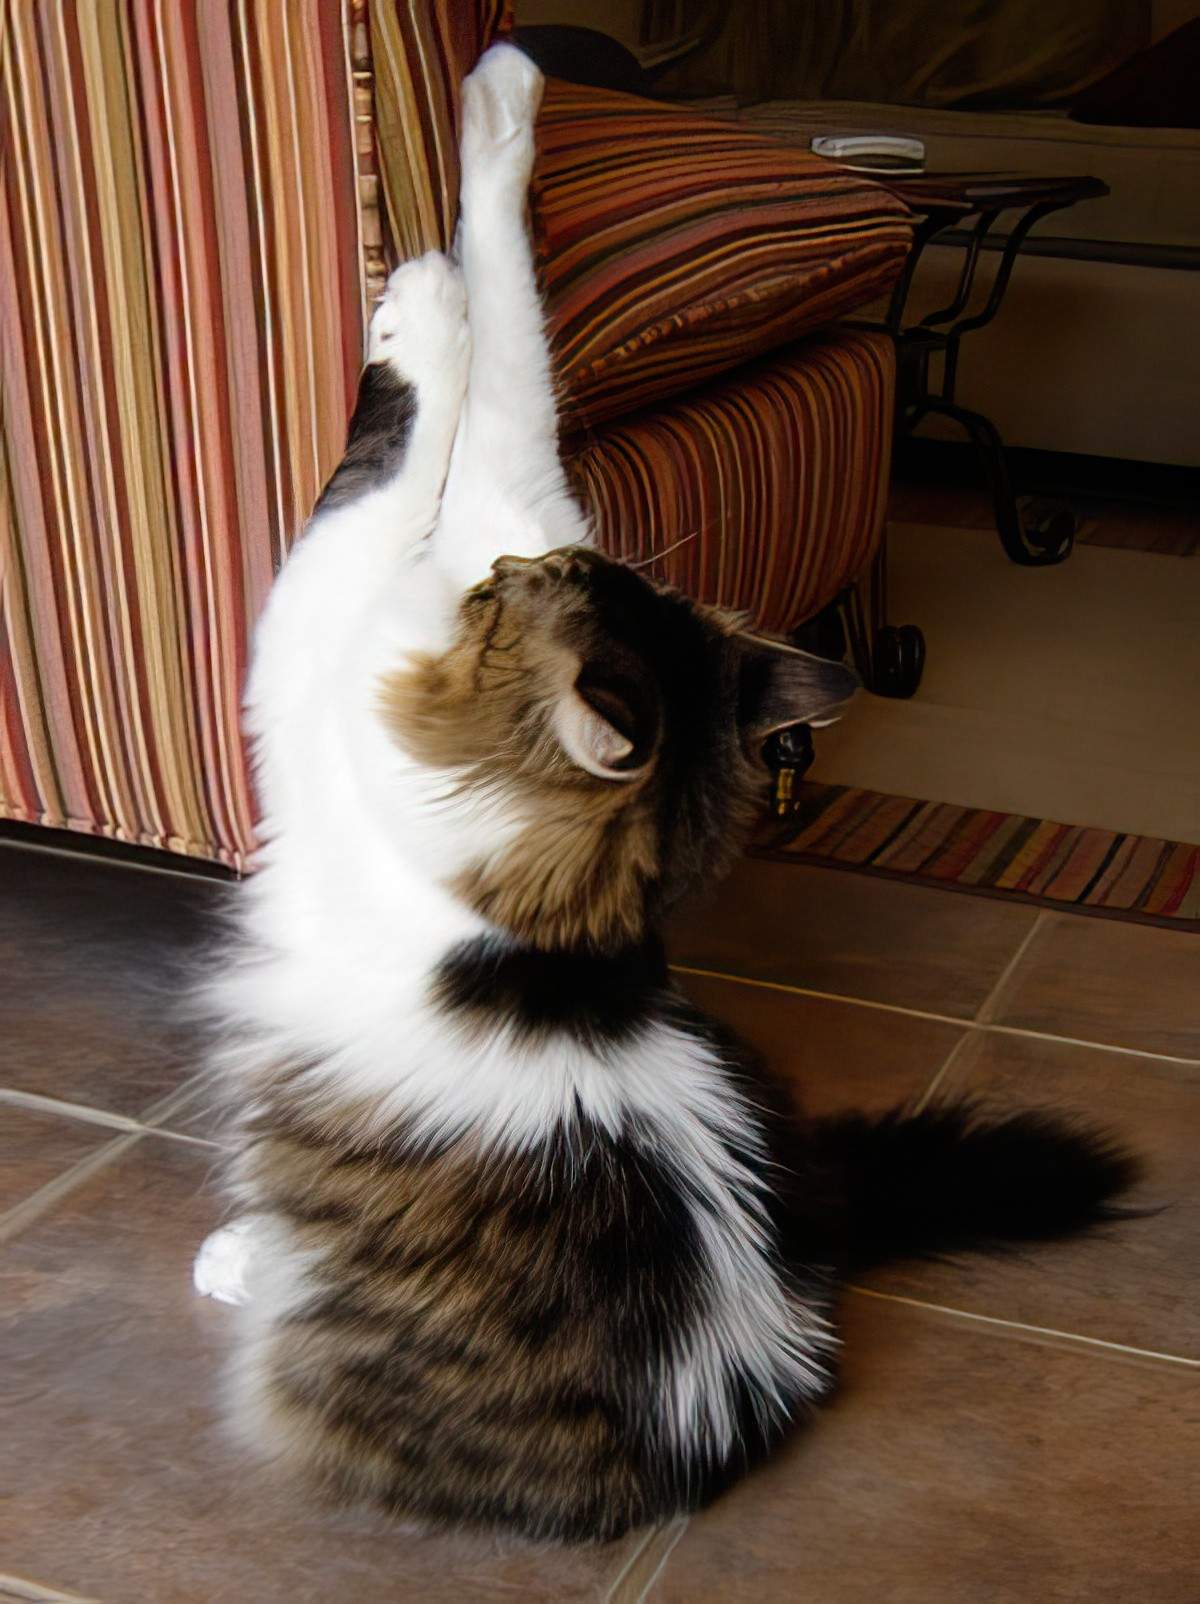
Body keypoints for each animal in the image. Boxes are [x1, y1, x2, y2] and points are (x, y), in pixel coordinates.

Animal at [194, 46, 1135, 1539]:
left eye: (511, 598)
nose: (504, 573)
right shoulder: (512, 492)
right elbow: (512, 340)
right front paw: (504, 106)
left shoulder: (318, 639)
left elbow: (398, 448)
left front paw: (422, 302)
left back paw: (238, 1261)